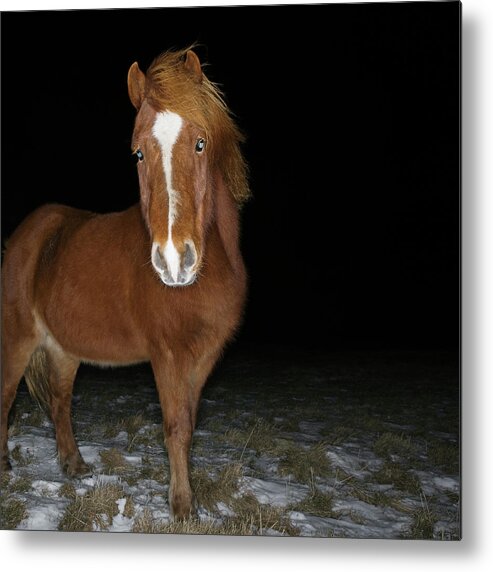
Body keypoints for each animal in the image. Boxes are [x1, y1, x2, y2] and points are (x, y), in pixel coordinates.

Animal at [0, 45, 250, 520]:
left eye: (201, 143)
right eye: (138, 154)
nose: (173, 261)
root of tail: (25, 234)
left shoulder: (205, 357)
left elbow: (189, 424)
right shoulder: (168, 355)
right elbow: (175, 427)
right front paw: (182, 508)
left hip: (63, 349)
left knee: (59, 401)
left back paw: (74, 464)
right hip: (18, 340)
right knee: (5, 396)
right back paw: (5, 463)